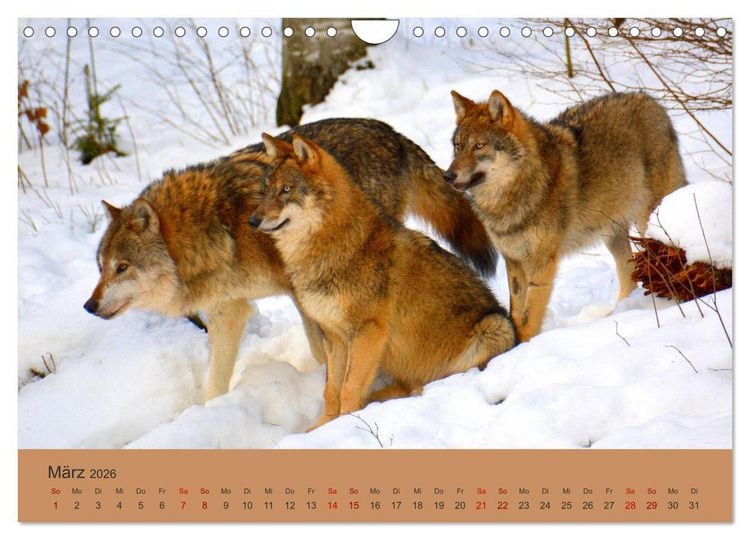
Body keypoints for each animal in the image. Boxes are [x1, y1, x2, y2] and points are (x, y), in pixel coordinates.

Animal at [84, 118, 497, 401]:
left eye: (122, 267)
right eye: (101, 266)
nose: (89, 305)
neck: (217, 227)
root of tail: (390, 132)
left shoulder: (297, 292)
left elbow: (320, 348)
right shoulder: (227, 311)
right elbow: (215, 383)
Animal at [250, 133, 517, 428]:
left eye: (286, 189)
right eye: (265, 190)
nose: (253, 220)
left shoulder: (368, 332)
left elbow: (348, 389)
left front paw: (345, 425)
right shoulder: (334, 337)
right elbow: (331, 390)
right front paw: (321, 428)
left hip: (495, 326)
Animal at [445, 91, 686, 342]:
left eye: (479, 146)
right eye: (458, 146)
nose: (448, 176)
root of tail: (651, 101)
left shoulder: (542, 265)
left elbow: (529, 319)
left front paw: (525, 346)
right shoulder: (514, 263)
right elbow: (516, 315)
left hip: (648, 221)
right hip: (613, 236)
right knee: (628, 280)